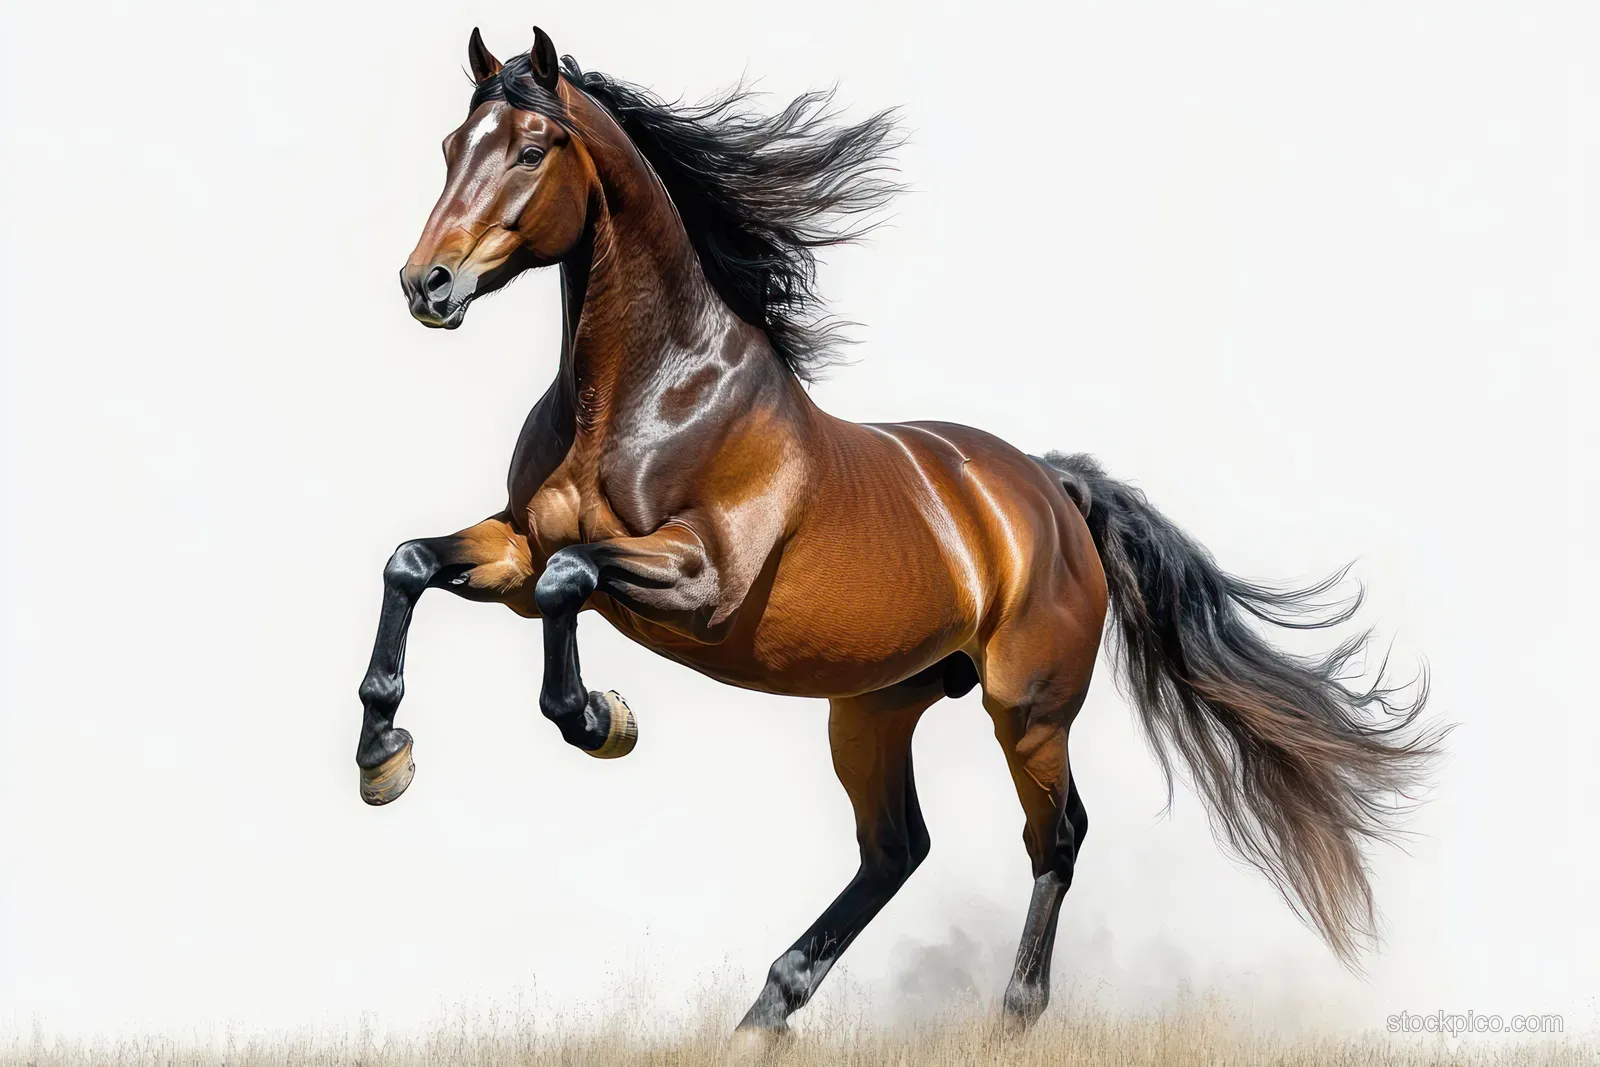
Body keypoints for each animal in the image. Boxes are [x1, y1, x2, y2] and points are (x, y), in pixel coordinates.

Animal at [358, 26, 1440, 1041]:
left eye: (533, 148)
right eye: (453, 144)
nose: (426, 285)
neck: (647, 398)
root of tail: (1050, 488)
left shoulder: (701, 583)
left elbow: (571, 583)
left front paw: (601, 718)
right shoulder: (513, 546)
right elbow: (413, 563)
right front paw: (383, 756)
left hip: (1026, 707)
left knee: (1056, 836)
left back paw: (1011, 1015)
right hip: (874, 706)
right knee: (896, 848)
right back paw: (765, 1012)